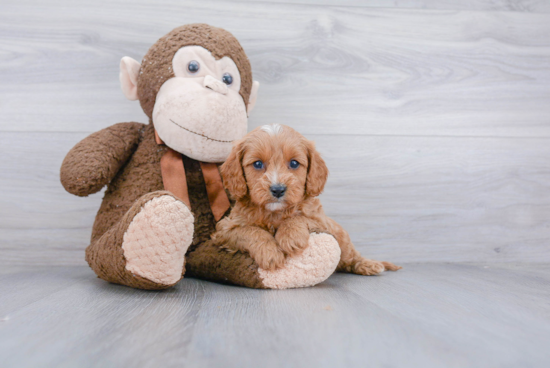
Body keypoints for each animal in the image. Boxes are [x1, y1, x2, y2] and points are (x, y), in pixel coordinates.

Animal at [215, 125, 402, 274]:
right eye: (258, 164)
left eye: (294, 163)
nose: (278, 189)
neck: (275, 213)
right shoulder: (225, 229)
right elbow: (250, 231)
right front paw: (270, 253)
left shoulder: (321, 221)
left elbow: (298, 218)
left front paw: (290, 237)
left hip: (343, 240)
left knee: (351, 257)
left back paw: (369, 265)